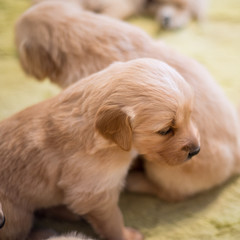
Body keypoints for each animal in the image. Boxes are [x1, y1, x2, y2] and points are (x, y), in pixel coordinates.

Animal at [0, 58, 197, 240]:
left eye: (190, 115)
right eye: (165, 130)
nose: (196, 150)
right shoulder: (94, 194)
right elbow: (113, 221)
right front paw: (126, 235)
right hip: (16, 215)